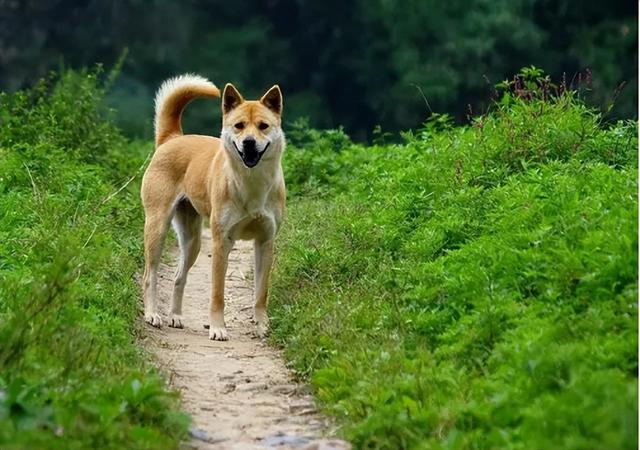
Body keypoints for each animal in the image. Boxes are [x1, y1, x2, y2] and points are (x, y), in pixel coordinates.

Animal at [144, 74, 286, 342]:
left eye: (263, 126)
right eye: (239, 125)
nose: (249, 143)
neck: (251, 183)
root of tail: (173, 138)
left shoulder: (265, 242)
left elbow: (261, 292)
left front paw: (262, 326)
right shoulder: (222, 243)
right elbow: (217, 294)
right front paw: (218, 328)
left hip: (193, 242)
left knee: (179, 277)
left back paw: (175, 316)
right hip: (157, 228)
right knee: (150, 275)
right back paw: (152, 314)